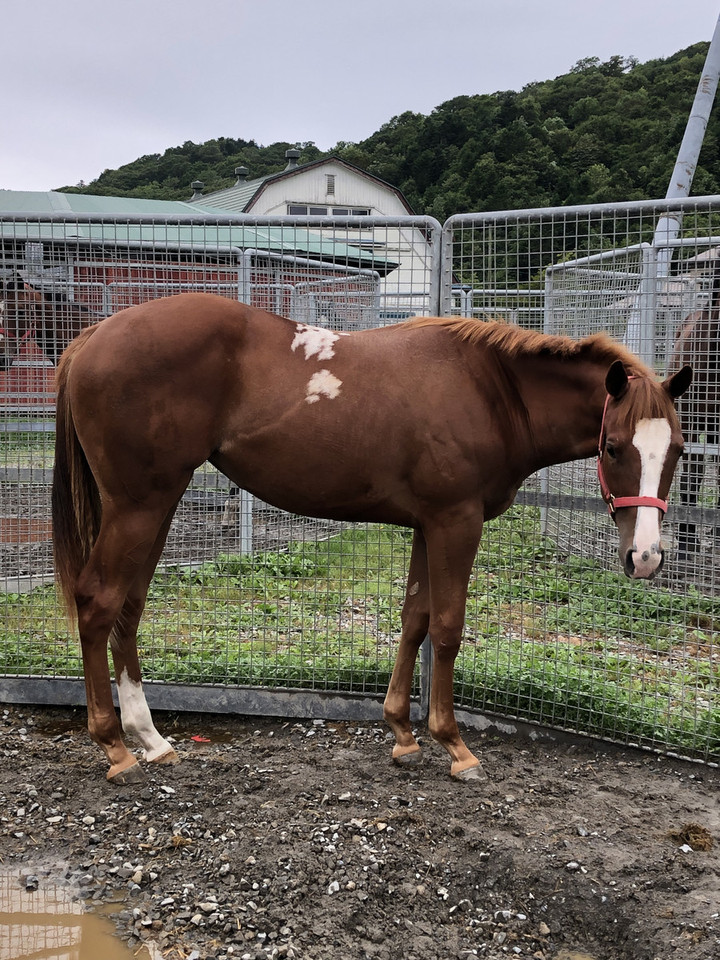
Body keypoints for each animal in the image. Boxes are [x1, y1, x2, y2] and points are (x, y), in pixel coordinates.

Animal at [52, 296, 692, 784]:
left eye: (679, 450)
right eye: (614, 447)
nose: (646, 557)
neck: (490, 391)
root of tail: (92, 337)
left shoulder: (428, 526)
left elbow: (414, 619)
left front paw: (403, 733)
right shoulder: (456, 522)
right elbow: (447, 627)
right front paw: (454, 745)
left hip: (157, 505)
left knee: (130, 606)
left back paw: (151, 738)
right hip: (139, 507)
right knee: (98, 601)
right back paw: (114, 746)